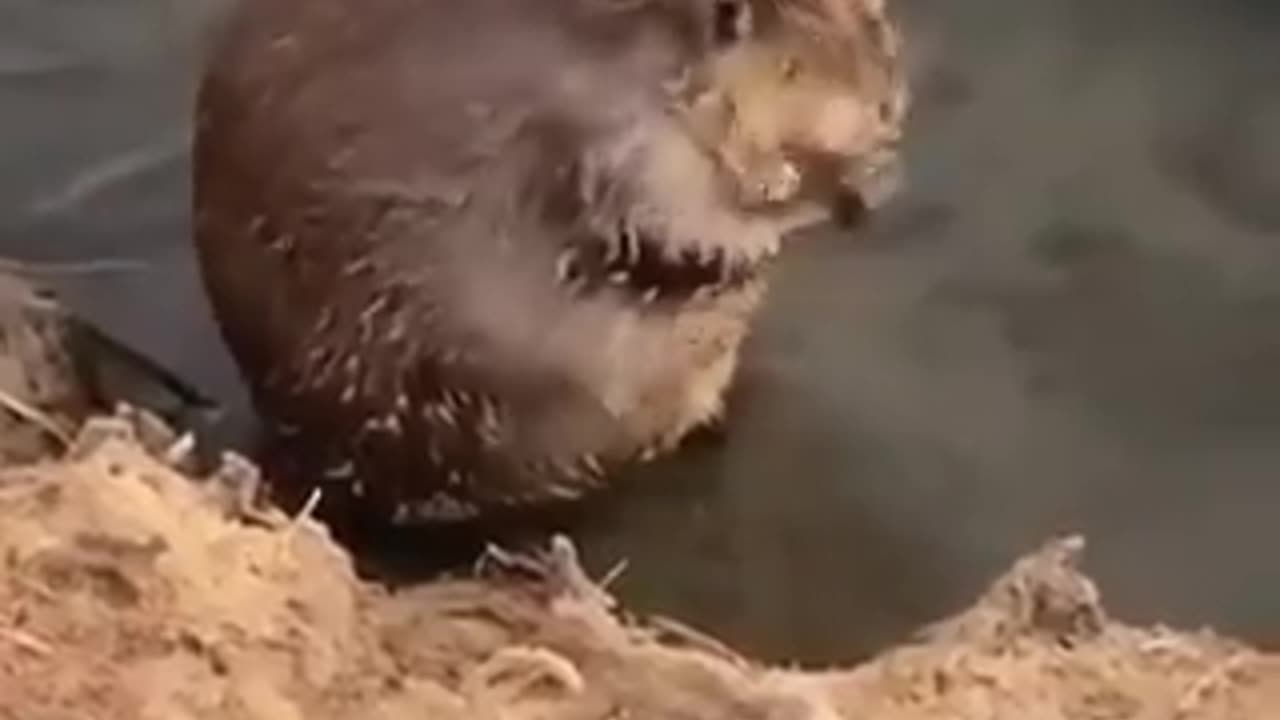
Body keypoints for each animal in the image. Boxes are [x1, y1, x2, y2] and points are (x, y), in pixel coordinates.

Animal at [192, 0, 911, 520]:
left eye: (877, 32)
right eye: (792, 67)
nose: (883, 106)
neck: (627, 49)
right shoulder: (601, 134)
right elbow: (662, 222)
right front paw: (819, 188)